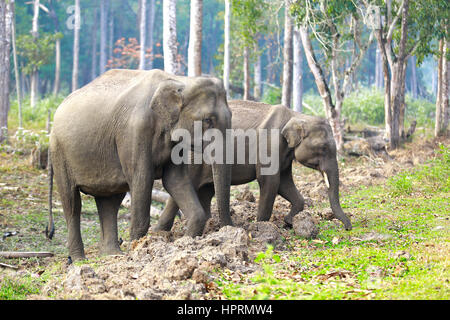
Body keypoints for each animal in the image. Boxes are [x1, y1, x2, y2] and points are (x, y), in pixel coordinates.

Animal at [46, 69, 232, 262]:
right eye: (208, 120)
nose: (226, 228)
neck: (180, 81)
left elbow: (175, 180)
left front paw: (185, 243)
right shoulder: (135, 131)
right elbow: (142, 180)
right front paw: (136, 251)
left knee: (109, 202)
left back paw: (112, 255)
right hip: (60, 153)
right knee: (72, 203)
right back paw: (79, 260)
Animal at [155, 100, 352, 235]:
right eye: (324, 148)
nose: (348, 228)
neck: (297, 116)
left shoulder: (284, 154)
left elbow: (284, 183)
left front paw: (288, 222)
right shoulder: (270, 146)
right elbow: (270, 181)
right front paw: (262, 227)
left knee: (206, 191)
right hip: (192, 160)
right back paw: (161, 234)